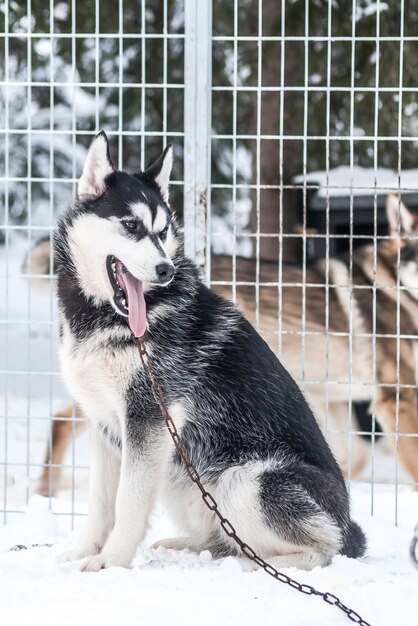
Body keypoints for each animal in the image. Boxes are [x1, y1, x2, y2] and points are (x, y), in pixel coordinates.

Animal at [56, 133, 366, 572]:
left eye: (163, 232)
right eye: (132, 226)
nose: (166, 270)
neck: (111, 321)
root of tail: (347, 521)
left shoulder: (150, 419)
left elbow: (128, 503)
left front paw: (112, 560)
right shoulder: (104, 424)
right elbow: (101, 503)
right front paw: (84, 551)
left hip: (244, 480)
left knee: (324, 550)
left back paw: (257, 565)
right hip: (183, 478)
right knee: (222, 538)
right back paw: (190, 547)